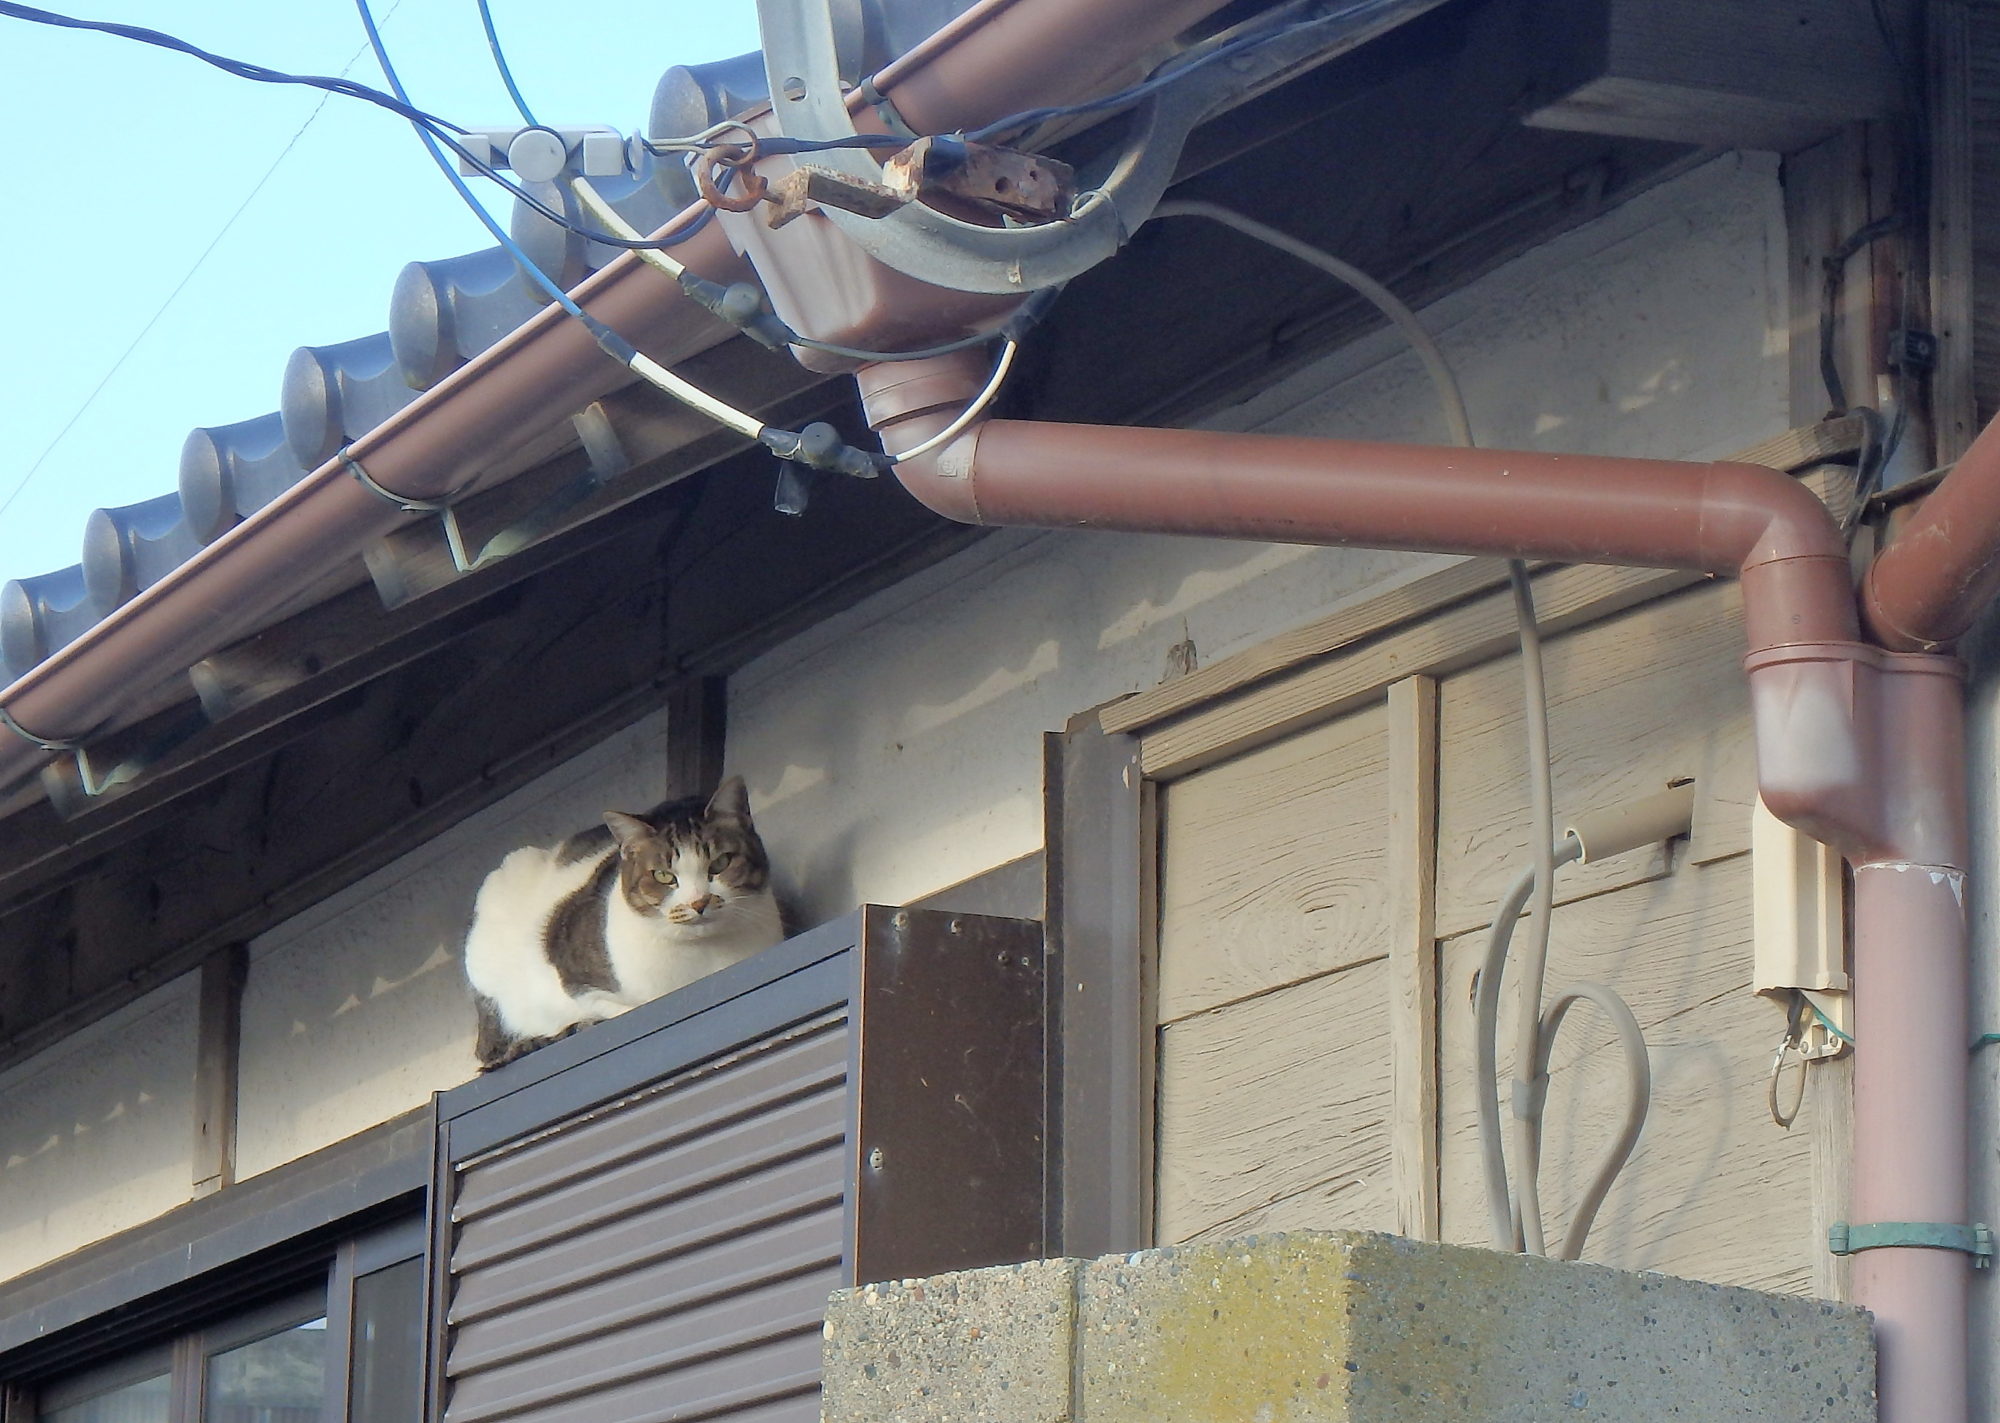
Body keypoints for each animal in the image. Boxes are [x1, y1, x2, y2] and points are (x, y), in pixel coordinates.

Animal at [463, 775, 785, 1070]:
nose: (699, 902)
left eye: (720, 863)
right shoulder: (577, 980)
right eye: (663, 876)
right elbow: (614, 1006)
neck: (703, 964)